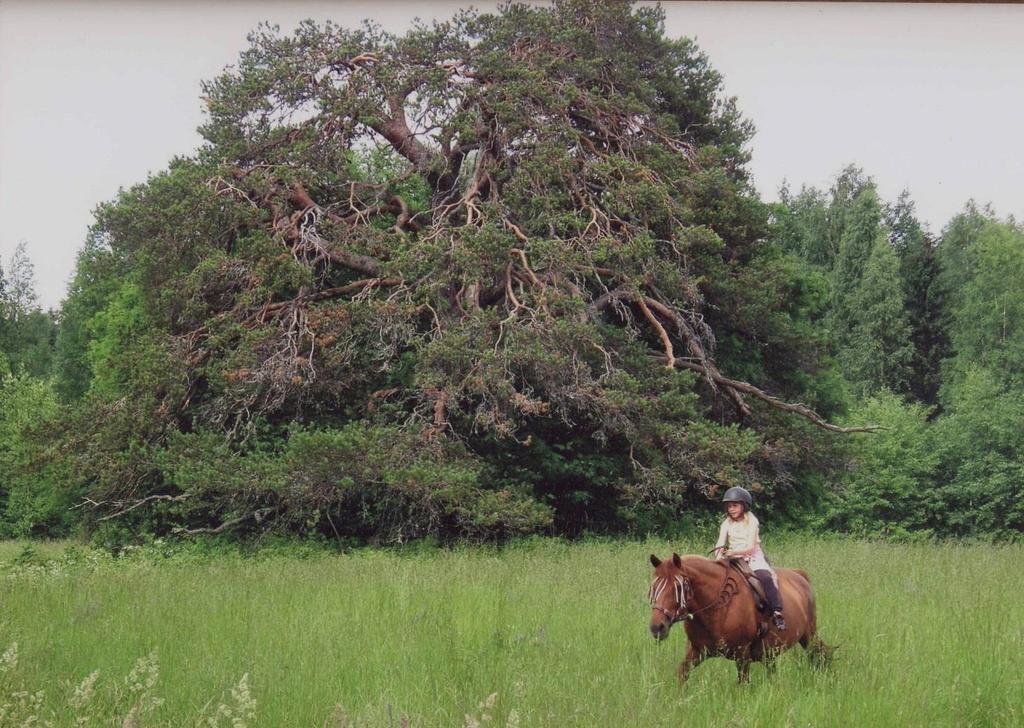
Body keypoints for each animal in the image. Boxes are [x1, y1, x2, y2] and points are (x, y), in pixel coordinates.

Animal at [651, 552, 819, 683]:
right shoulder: (697, 651)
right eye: (654, 587)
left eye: (678, 587)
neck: (716, 612)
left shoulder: (742, 655)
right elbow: (681, 674)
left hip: (809, 637)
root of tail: (800, 575)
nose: (656, 627)